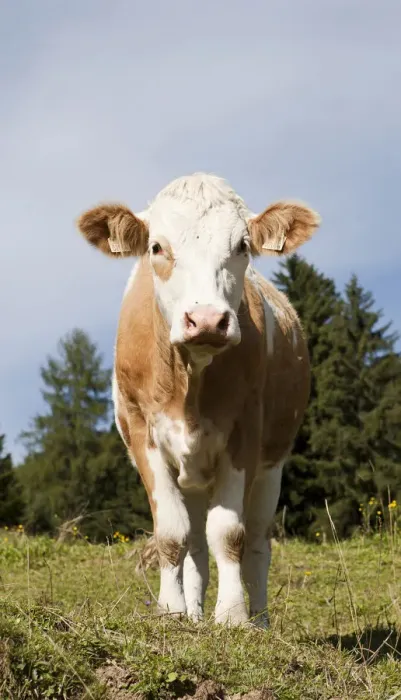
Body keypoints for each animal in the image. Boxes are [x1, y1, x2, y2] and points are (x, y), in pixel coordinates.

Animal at [77, 173, 320, 628]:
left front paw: (233, 616)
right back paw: (192, 612)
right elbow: (173, 534)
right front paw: (173, 611)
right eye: (157, 247)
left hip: (272, 466)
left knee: (257, 543)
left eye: (243, 246)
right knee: (195, 547)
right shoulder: (142, 434)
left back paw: (261, 620)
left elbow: (229, 533)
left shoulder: (245, 434)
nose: (207, 320)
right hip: (190, 475)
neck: (189, 380)